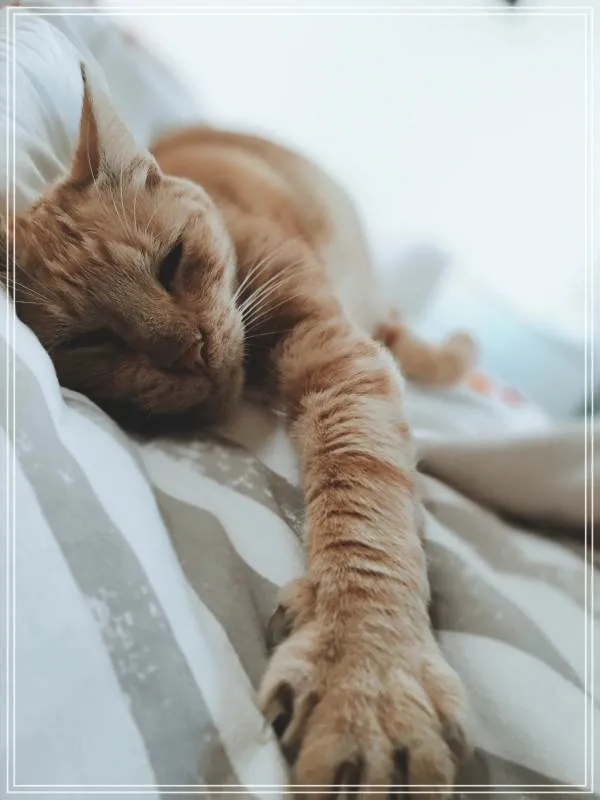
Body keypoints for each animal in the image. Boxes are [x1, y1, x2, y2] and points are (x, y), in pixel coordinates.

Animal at [4, 65, 475, 796]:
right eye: (90, 340)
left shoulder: (335, 350)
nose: (188, 350)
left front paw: (366, 673)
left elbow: (365, 505)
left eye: (171, 262)